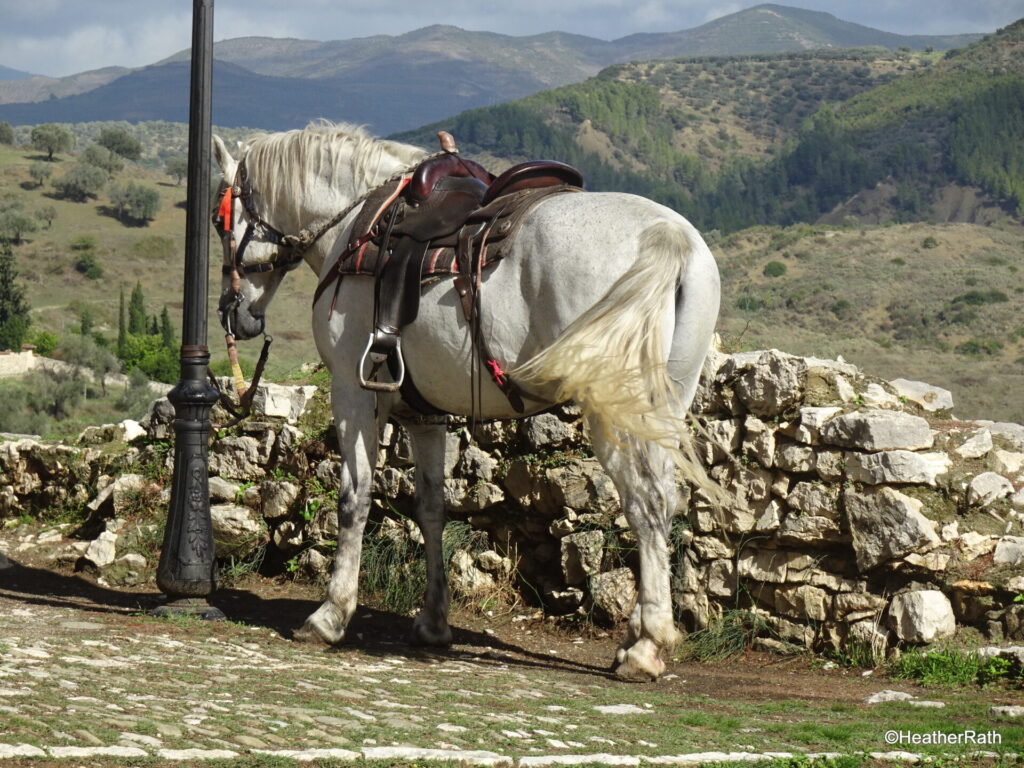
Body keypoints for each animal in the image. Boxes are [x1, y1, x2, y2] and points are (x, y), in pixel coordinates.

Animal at [212, 122, 722, 680]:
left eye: (220, 222)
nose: (234, 313)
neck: (355, 222)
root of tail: (667, 236)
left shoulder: (354, 393)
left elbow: (355, 498)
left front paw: (330, 615)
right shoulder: (423, 412)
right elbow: (432, 507)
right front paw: (433, 622)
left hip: (613, 413)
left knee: (645, 503)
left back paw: (646, 646)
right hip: (664, 405)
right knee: (663, 501)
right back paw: (638, 635)